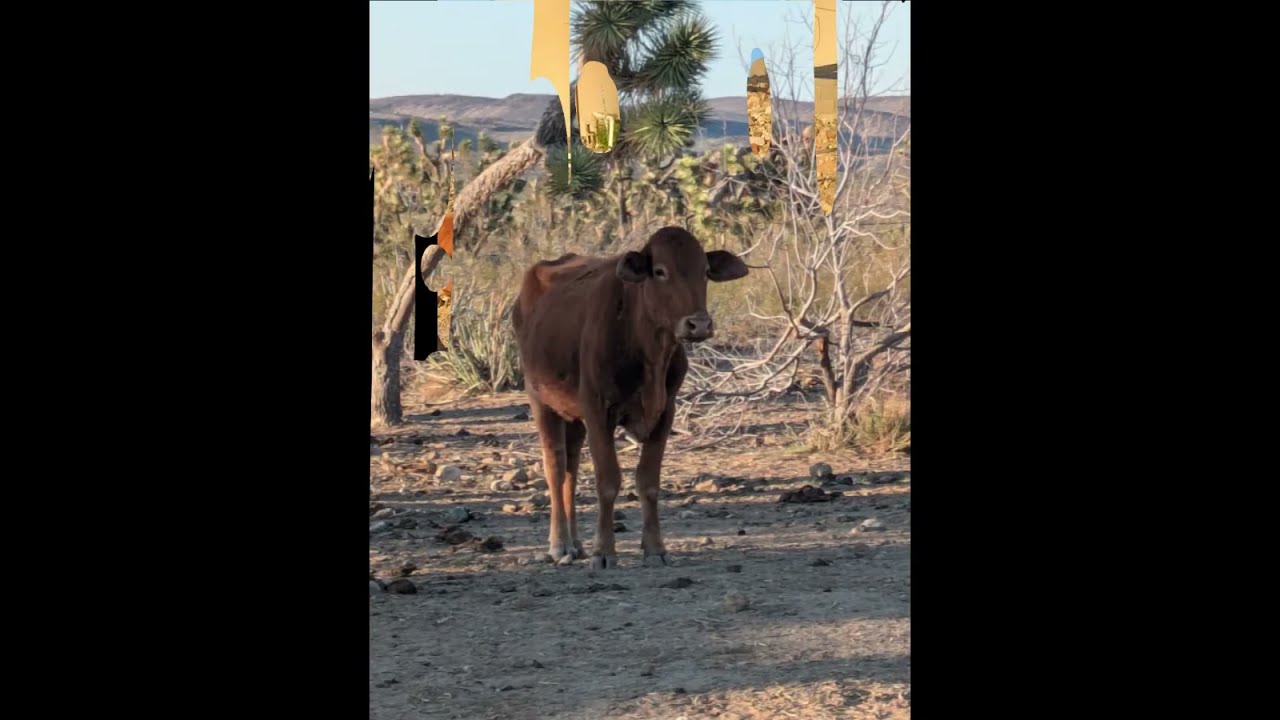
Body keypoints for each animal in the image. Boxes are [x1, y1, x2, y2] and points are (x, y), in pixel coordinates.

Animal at [512, 226, 749, 569]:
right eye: (660, 271)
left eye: (705, 271)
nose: (699, 324)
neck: (648, 348)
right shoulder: (599, 411)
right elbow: (607, 481)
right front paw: (604, 551)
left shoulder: (664, 413)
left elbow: (648, 482)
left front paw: (655, 548)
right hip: (540, 400)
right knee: (555, 467)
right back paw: (560, 543)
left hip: (574, 417)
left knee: (571, 468)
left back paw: (576, 543)